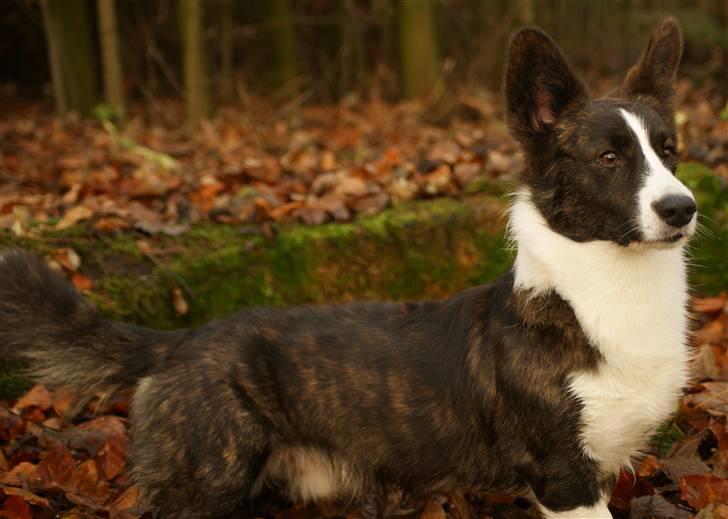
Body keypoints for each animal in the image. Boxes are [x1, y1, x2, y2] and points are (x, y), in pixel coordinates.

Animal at [0, 18, 692, 519]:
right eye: (608, 157)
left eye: (670, 151)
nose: (683, 208)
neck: (604, 284)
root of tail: (178, 344)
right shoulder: (564, 476)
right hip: (205, 485)